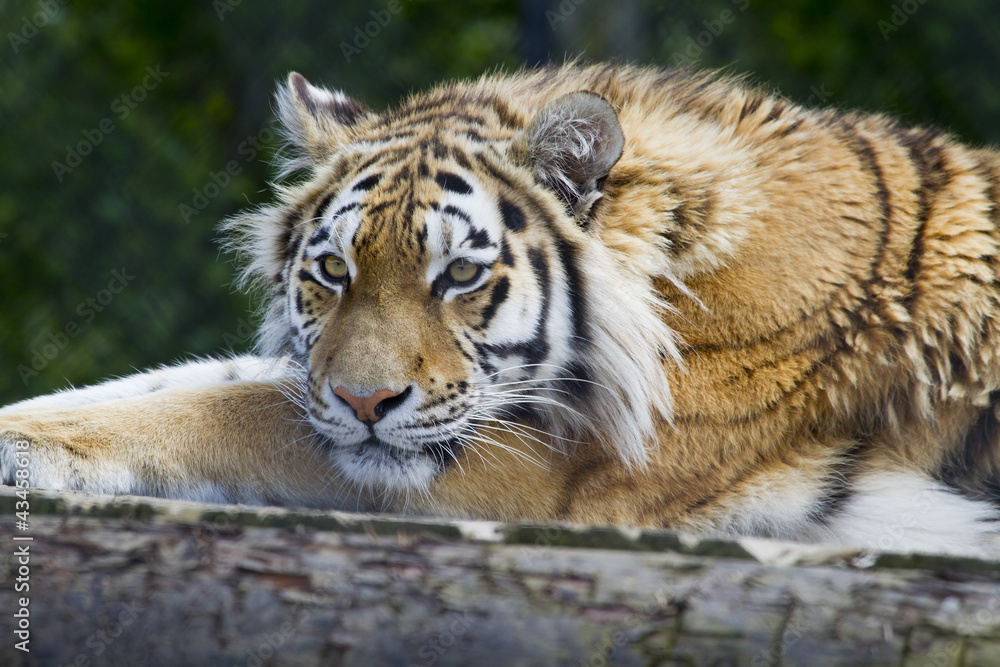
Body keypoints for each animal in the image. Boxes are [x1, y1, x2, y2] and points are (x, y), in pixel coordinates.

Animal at [3, 63, 1000, 557]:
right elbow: (181, 382)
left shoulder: (558, 468)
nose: (365, 403)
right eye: (331, 269)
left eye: (456, 275)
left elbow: (223, 410)